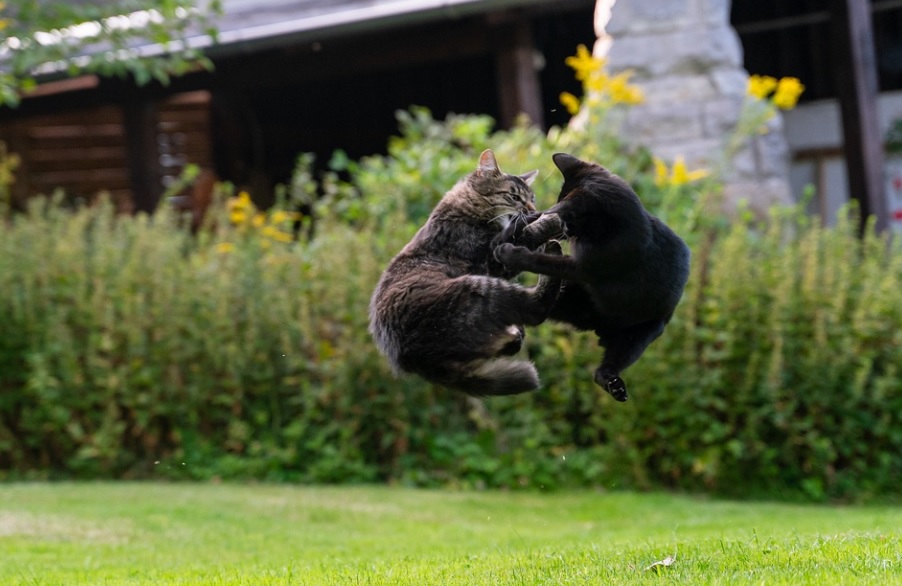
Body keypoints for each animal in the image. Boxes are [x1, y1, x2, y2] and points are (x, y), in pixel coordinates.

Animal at [370, 149, 560, 396]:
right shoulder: (491, 259)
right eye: (514, 197)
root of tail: (418, 362)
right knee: (537, 308)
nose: (533, 210)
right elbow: (524, 235)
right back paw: (554, 251)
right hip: (480, 288)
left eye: (532, 199)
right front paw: (545, 222)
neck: (469, 205)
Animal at [494, 153, 692, 400]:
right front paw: (521, 224)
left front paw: (510, 253)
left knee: (606, 368)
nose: (564, 229)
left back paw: (613, 384)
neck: (614, 228)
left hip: (641, 333)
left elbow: (543, 261)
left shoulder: (582, 267)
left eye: (571, 217)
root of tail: (600, 327)